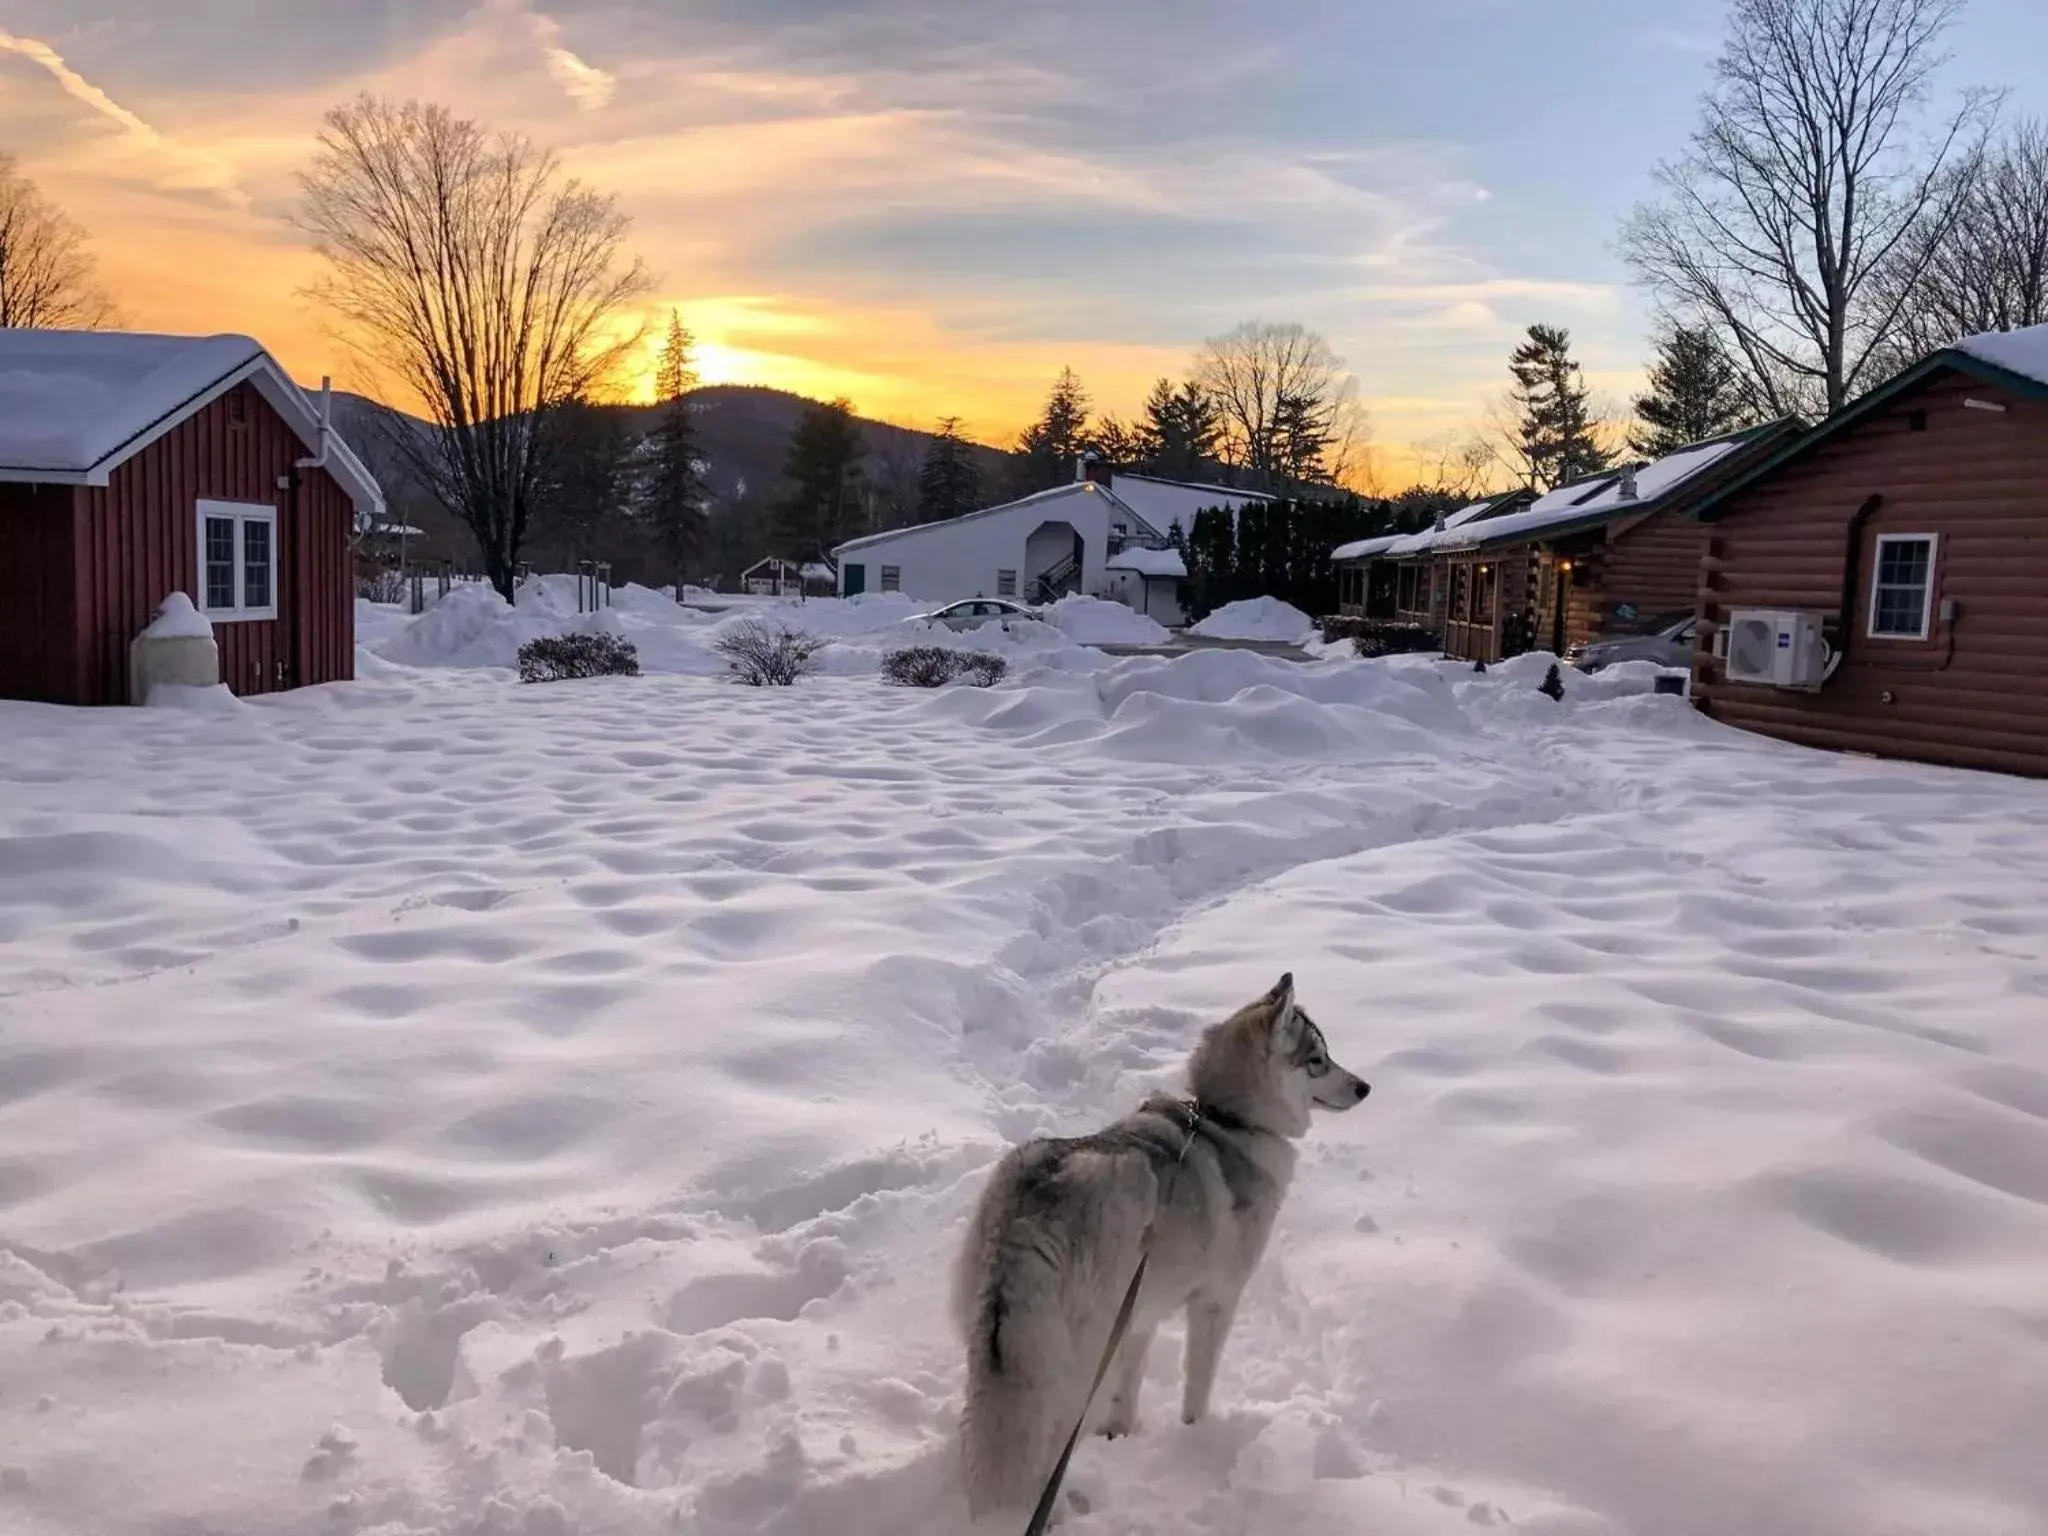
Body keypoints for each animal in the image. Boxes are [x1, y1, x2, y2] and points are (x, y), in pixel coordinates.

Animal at [950, 974, 1368, 1515]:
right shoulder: (1216, 1302)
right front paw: (1196, 1437)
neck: (1227, 1118)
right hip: (1079, 1363)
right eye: (1317, 1058)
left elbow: (1130, 1385)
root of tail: (1034, 1205)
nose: (1365, 1086)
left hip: (998, 1347)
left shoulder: (1141, 1314)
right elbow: (1198, 1385)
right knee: (1048, 1447)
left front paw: (1121, 1432)